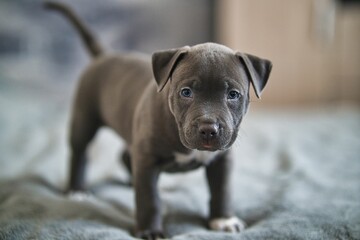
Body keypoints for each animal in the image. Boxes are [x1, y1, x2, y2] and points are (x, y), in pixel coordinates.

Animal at [44, 1, 270, 238]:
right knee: (80, 152)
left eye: (233, 95)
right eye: (186, 92)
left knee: (125, 155)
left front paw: (223, 219)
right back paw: (76, 190)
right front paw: (150, 230)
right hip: (84, 119)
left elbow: (222, 190)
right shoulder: (147, 160)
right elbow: (149, 199)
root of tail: (104, 55)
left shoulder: (221, 160)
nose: (209, 128)